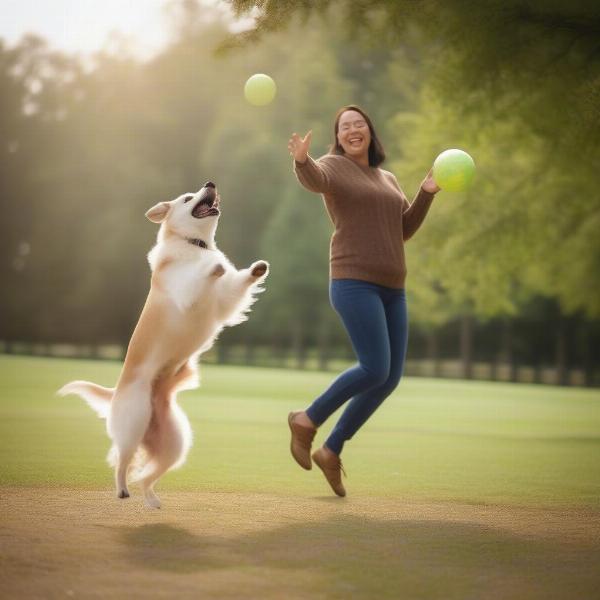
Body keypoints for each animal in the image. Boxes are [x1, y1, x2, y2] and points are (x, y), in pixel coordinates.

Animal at [58, 182, 270, 506]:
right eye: (187, 198)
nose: (210, 183)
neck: (195, 244)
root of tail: (116, 392)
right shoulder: (188, 292)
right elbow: (203, 273)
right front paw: (214, 266)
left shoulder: (225, 302)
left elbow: (238, 285)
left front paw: (257, 269)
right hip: (133, 425)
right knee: (121, 460)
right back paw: (122, 490)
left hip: (175, 444)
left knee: (149, 474)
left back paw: (152, 500)